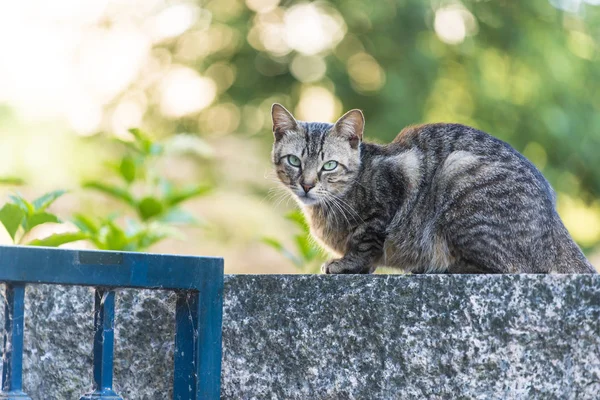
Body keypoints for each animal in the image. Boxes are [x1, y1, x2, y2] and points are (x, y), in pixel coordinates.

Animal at [270, 102, 596, 276]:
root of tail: (553, 221)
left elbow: (364, 242)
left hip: (459, 176)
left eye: (329, 166)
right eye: (294, 161)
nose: (307, 184)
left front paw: (347, 265)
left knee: (509, 267)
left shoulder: (390, 196)